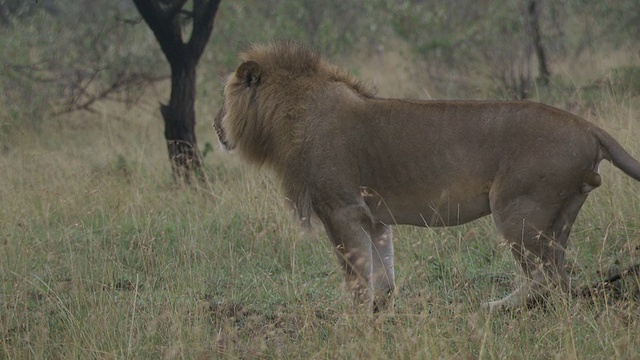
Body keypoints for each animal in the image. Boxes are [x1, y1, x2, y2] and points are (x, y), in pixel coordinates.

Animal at [214, 41, 640, 312]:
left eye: (224, 100)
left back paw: (495, 307)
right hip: (560, 216)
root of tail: (588, 126)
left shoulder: (340, 209)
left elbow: (355, 272)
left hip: (517, 211)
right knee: (561, 277)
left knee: (543, 278)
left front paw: (354, 316)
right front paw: (381, 308)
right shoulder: (372, 217)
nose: (216, 127)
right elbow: (382, 268)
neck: (291, 112)